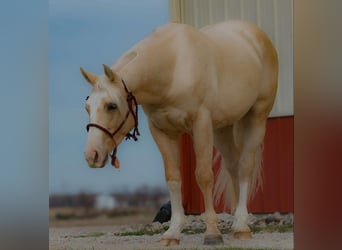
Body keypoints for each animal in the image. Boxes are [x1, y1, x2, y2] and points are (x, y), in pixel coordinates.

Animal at [81, 20, 278, 246]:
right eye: (87, 107)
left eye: (111, 106)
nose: (92, 155)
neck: (173, 68)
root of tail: (254, 33)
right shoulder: (162, 131)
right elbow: (173, 178)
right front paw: (172, 233)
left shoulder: (201, 124)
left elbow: (203, 176)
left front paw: (212, 232)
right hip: (223, 128)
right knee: (233, 167)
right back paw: (236, 225)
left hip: (256, 117)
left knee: (245, 167)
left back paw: (243, 227)